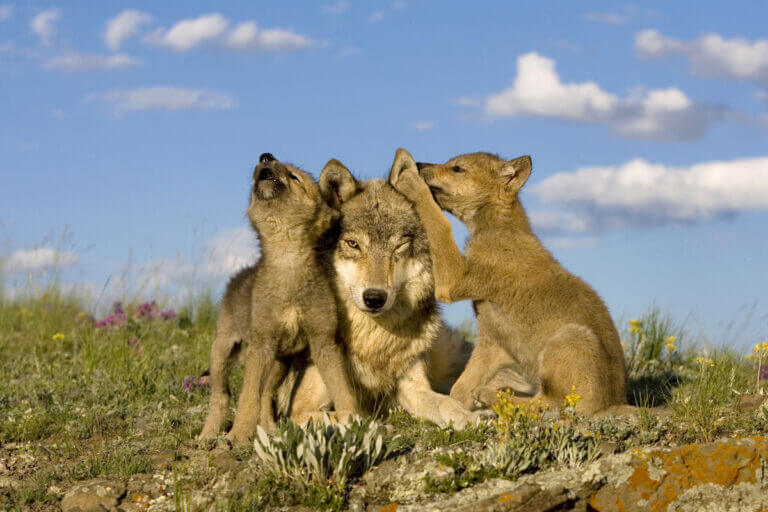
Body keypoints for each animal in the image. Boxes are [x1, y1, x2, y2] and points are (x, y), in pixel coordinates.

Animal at [199, 153, 356, 444]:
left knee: (265, 394)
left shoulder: (324, 342)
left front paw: (354, 420)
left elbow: (342, 391)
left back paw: (269, 429)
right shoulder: (261, 344)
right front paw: (238, 435)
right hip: (223, 350)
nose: (265, 156)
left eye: (294, 176)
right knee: (221, 396)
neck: (288, 259)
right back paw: (209, 434)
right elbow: (246, 397)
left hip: (279, 363)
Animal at [276, 158, 499, 428]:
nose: (374, 298)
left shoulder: (415, 388)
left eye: (399, 246)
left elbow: (446, 403)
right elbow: (348, 414)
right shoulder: (297, 410)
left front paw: (470, 418)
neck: (374, 341)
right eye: (353, 244)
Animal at [390, 149, 629, 415]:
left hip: (570, 337)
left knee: (549, 404)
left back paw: (492, 394)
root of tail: (614, 402)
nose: (420, 164)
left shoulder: (454, 279)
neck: (497, 228)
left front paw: (410, 182)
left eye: (457, 168)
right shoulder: (493, 341)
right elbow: (458, 389)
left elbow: (439, 222)